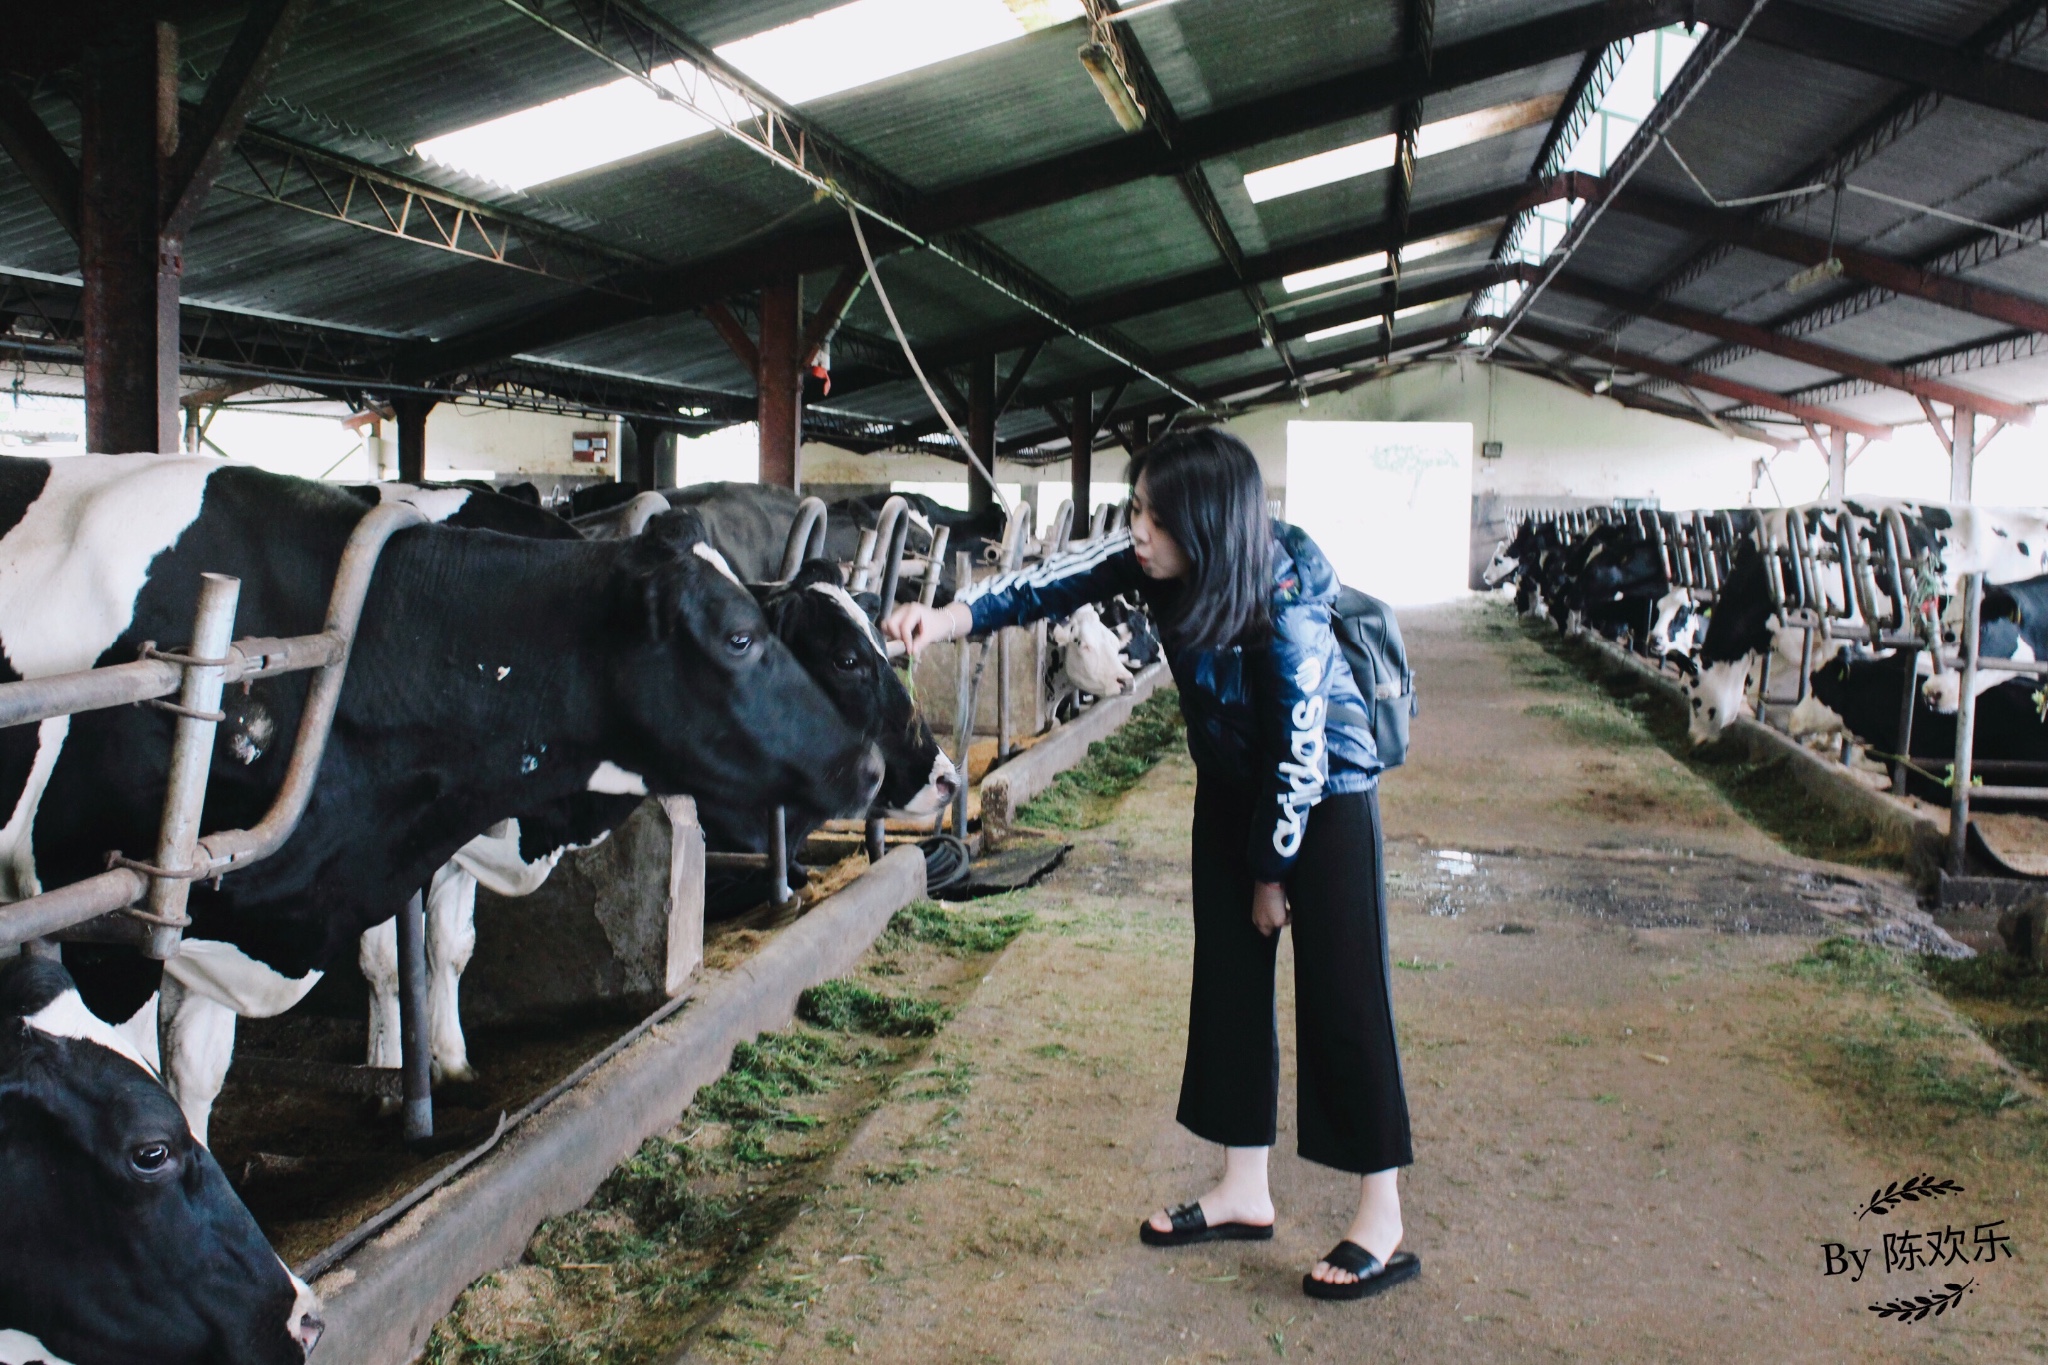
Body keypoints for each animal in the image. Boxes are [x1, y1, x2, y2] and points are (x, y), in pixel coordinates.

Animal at [0, 454, 872, 1137]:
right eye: (740, 637)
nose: (866, 766)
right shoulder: (116, 910)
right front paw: (396, 1075)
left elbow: (430, 951)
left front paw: (443, 1062)